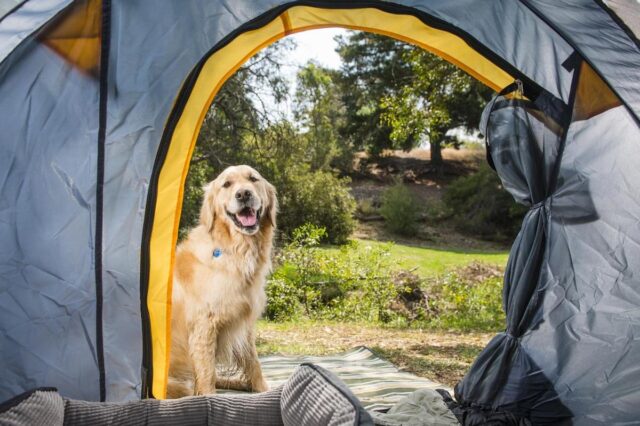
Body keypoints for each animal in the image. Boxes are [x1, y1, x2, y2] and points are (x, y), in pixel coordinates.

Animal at [166, 165, 276, 398]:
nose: (243, 194)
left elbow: (253, 363)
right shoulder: (204, 325)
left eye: (253, 179)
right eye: (226, 184)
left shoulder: (245, 322)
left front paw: (262, 389)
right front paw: (209, 397)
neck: (237, 250)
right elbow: (207, 373)